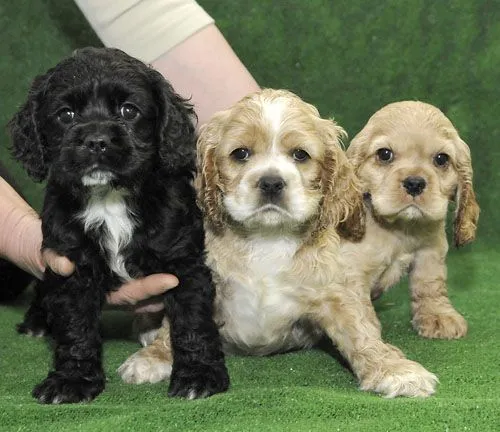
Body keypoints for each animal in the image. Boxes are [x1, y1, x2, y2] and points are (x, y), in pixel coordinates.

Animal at [9, 48, 229, 404]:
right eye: (66, 114)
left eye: (129, 110)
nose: (97, 141)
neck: (109, 198)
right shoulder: (70, 265)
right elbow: (75, 326)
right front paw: (72, 380)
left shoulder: (184, 261)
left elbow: (192, 321)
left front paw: (199, 375)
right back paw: (36, 321)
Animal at [117, 91, 442, 398]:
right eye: (240, 153)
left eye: (300, 155)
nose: (271, 182)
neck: (268, 237)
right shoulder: (203, 281)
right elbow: (180, 321)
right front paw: (155, 356)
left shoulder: (334, 290)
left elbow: (359, 329)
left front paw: (394, 370)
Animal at [346, 100, 478, 338]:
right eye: (384, 154)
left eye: (441, 159)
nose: (415, 183)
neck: (401, 228)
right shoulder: (350, 269)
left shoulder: (430, 251)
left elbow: (430, 283)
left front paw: (438, 316)